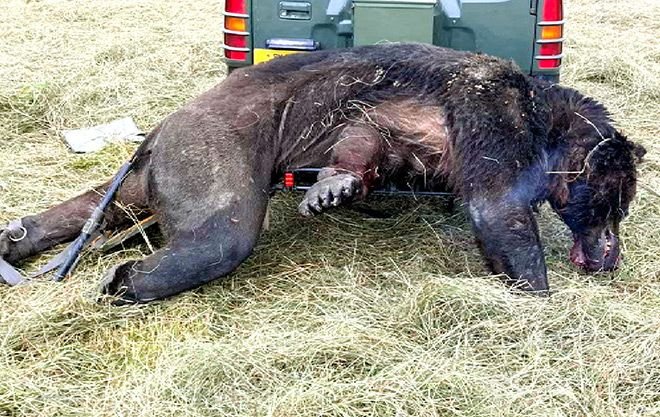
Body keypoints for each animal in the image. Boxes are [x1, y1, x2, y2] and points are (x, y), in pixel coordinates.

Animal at [0, 43, 646, 303]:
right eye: (615, 203)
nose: (612, 254)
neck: (546, 122)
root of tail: (158, 130)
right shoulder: (489, 116)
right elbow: (500, 210)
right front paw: (543, 299)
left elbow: (368, 141)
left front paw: (335, 186)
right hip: (208, 149)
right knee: (219, 234)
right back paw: (125, 280)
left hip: (158, 168)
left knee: (103, 203)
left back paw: (21, 237)